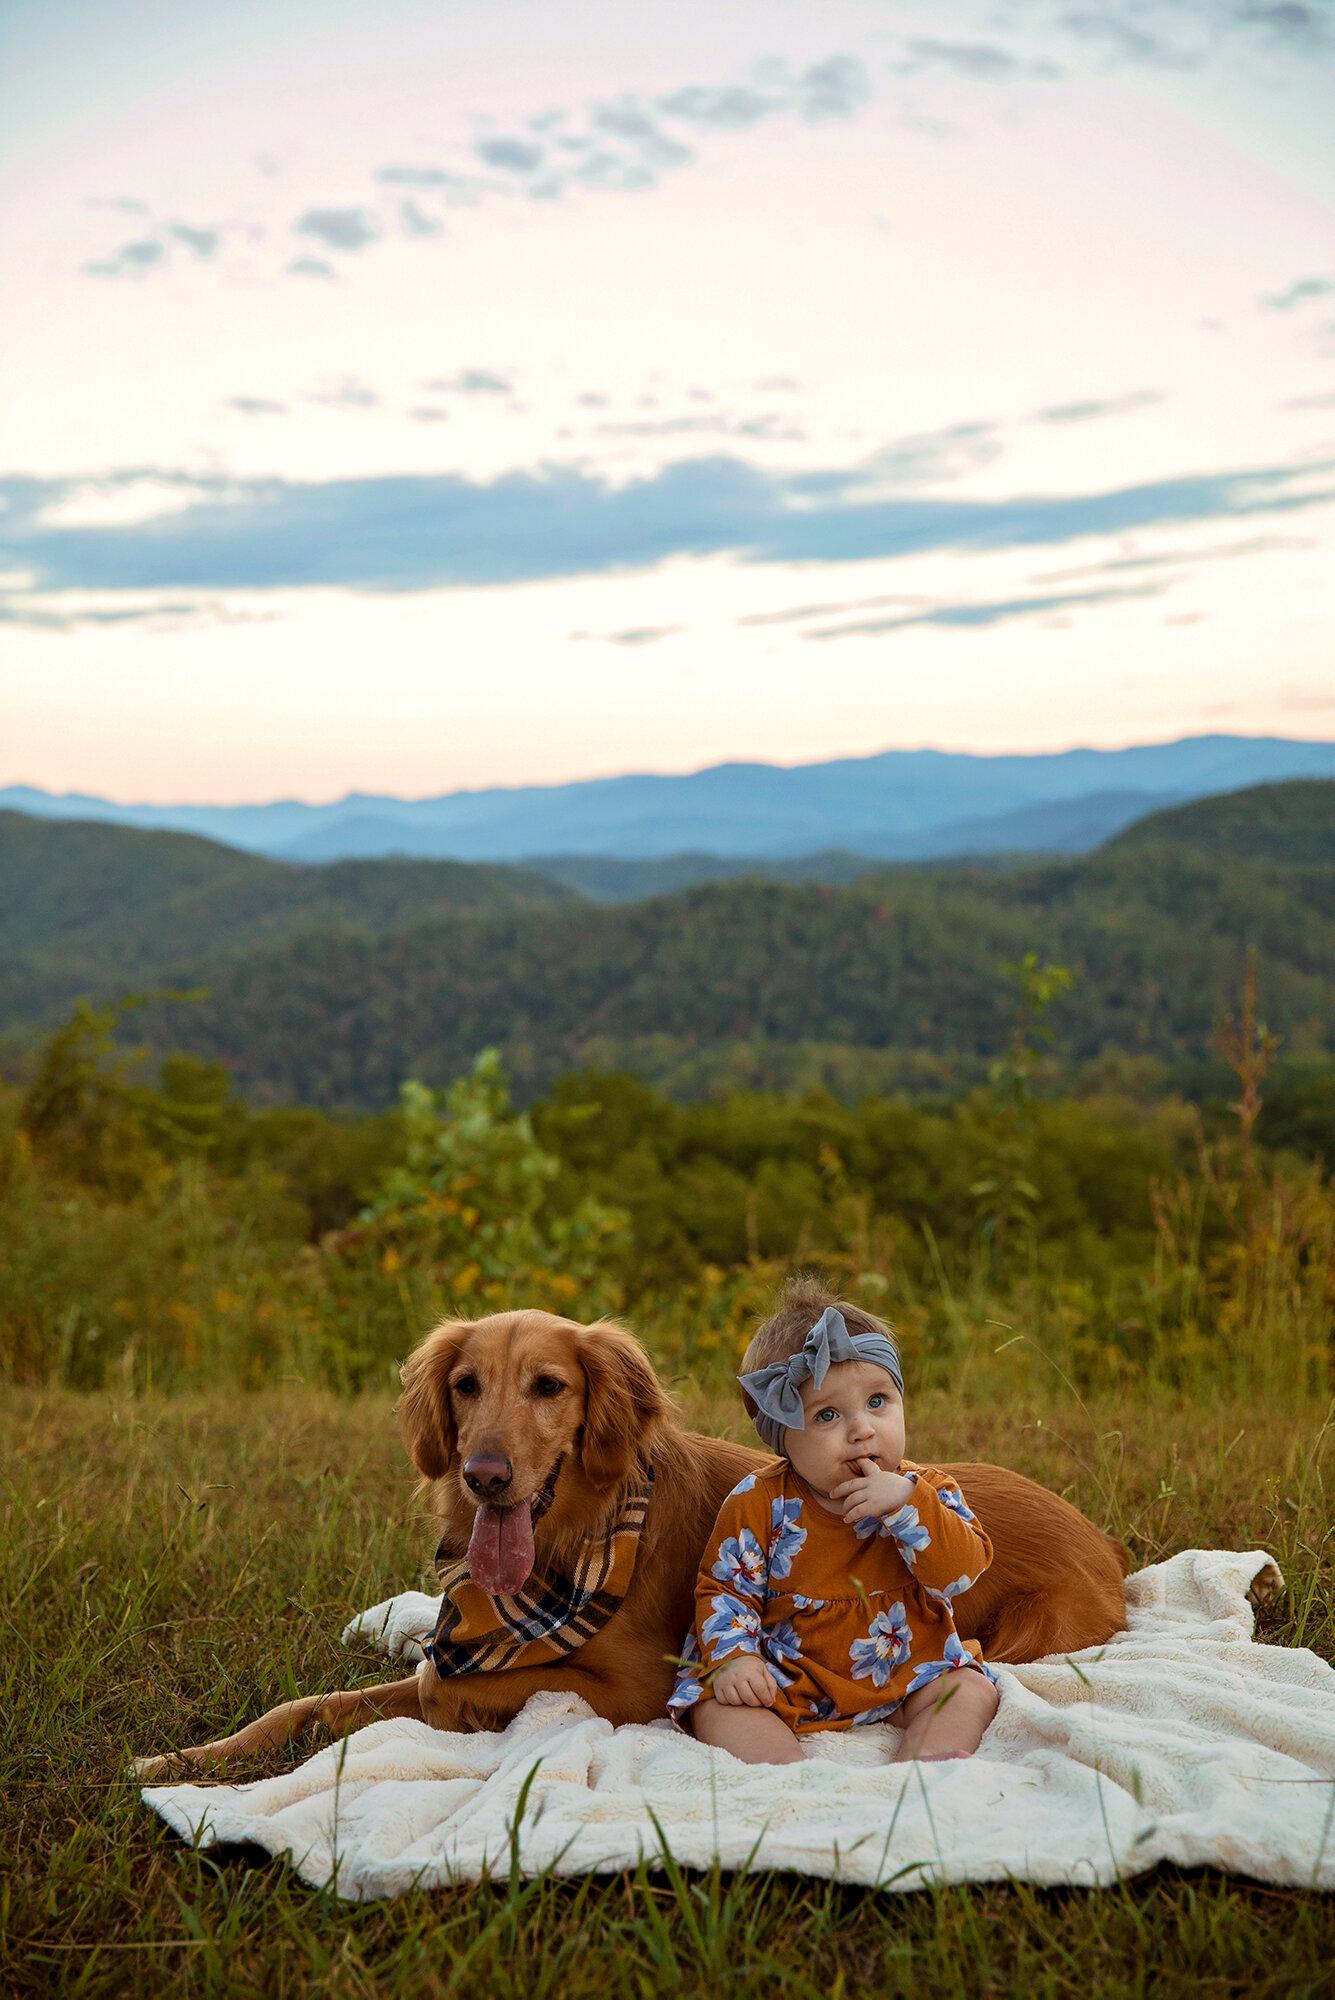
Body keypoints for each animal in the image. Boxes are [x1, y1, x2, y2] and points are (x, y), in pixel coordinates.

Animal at [135, 1312, 1135, 1784]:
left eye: (547, 1386)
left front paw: (447, 1706)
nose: (483, 1475)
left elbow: (450, 1688)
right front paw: (177, 1761)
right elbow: (301, 1707)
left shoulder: (639, 1689)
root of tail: (1105, 1541)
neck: (567, 1552)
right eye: (465, 1385)